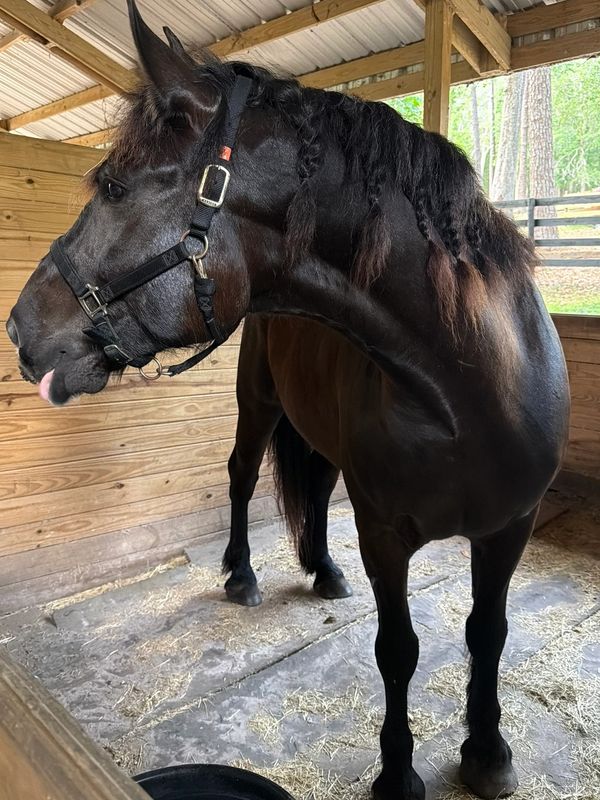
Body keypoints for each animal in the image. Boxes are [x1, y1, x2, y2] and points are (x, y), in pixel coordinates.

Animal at [7, 2, 570, 798]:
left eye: (114, 186)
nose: (19, 327)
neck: (467, 393)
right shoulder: (385, 534)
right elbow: (398, 648)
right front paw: (398, 772)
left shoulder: (508, 529)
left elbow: (486, 633)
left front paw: (488, 752)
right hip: (258, 407)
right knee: (242, 478)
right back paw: (241, 575)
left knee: (316, 489)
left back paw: (325, 571)